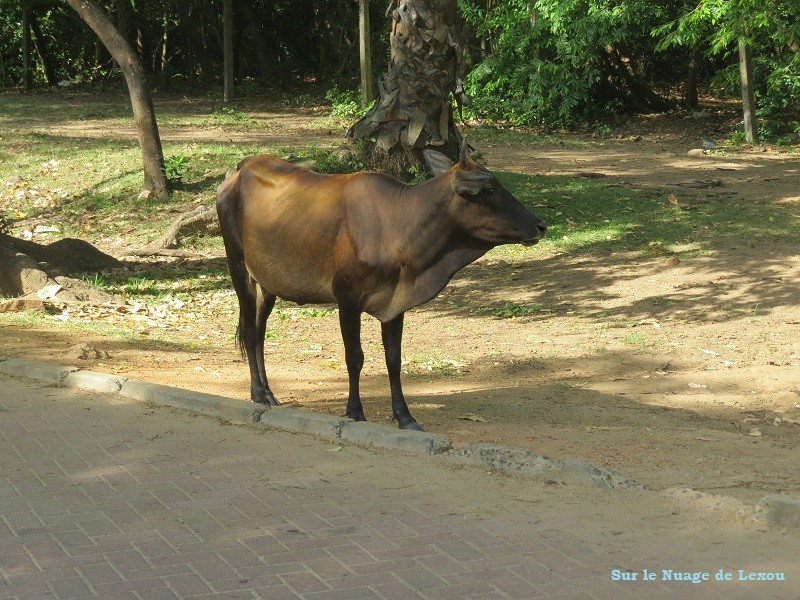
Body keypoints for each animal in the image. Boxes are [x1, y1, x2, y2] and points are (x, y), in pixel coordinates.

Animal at [217, 141, 544, 432]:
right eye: (489, 190)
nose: (540, 225)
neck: (397, 227)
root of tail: (239, 169)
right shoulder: (347, 298)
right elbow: (355, 357)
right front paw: (354, 411)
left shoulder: (394, 304)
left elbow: (394, 360)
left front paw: (405, 417)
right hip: (238, 265)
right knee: (250, 330)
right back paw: (259, 394)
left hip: (268, 283)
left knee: (259, 331)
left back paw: (267, 392)